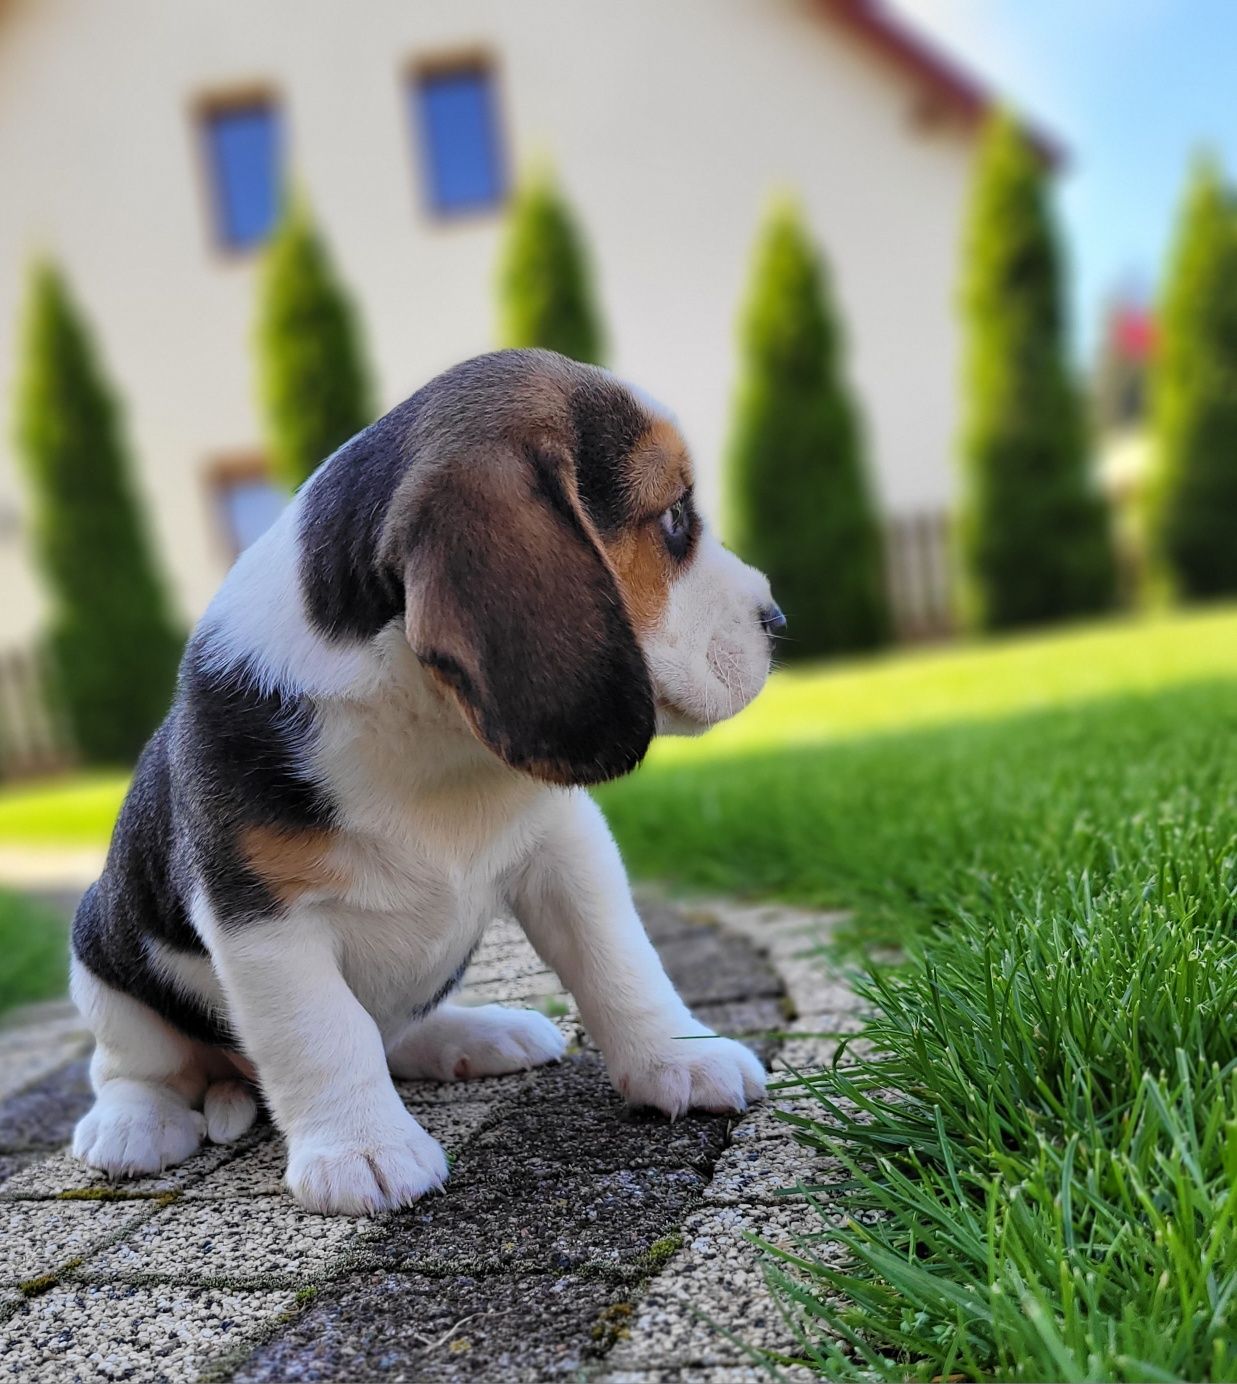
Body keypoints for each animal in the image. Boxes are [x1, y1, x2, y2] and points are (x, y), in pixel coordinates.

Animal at [67, 351, 785, 1217]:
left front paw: (678, 1058)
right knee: (134, 1066)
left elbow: (619, 960)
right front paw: (361, 1149)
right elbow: (321, 1030)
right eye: (674, 516)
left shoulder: (566, 851)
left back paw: (474, 1036)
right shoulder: (259, 916)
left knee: (397, 1033)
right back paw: (134, 1124)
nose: (777, 621)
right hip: (101, 956)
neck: (428, 733)